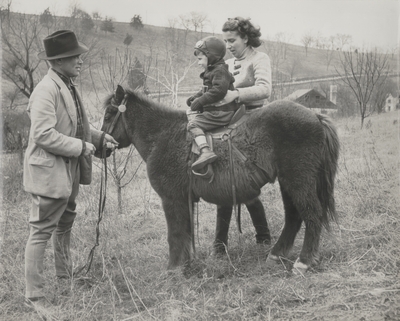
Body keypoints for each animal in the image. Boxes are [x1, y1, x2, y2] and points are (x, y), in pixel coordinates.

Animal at [99, 84, 338, 272]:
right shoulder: (184, 201)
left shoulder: (172, 200)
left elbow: (175, 234)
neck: (161, 136)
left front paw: (174, 268)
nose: (100, 148)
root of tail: (315, 116)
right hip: (288, 183)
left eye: (109, 114)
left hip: (299, 180)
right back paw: (276, 254)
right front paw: (186, 264)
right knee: (294, 216)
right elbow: (186, 233)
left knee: (311, 214)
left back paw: (304, 261)